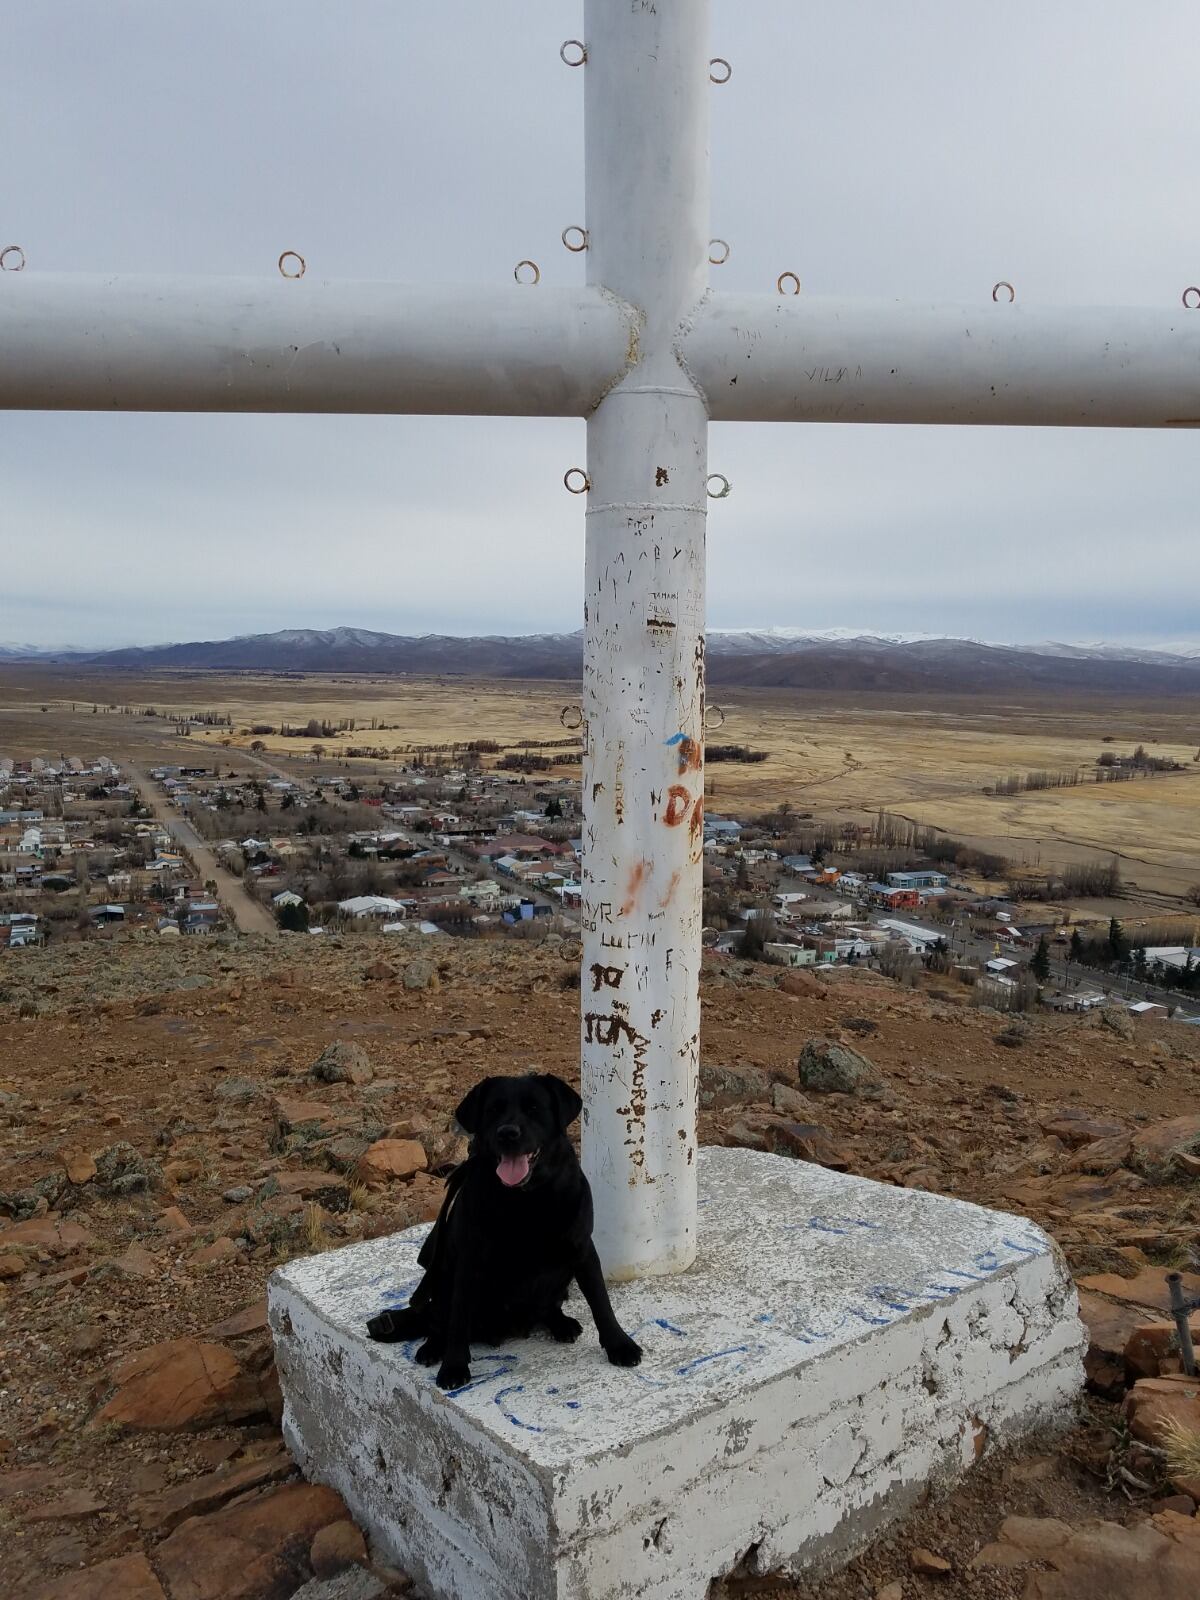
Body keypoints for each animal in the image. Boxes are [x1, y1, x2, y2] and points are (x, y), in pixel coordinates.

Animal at [366, 1075, 643, 1388]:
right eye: (493, 1110)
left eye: (534, 1108)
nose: (508, 1133)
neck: (527, 1199)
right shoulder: (468, 1262)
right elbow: (458, 1320)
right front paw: (453, 1365)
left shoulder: (582, 1249)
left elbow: (601, 1303)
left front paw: (619, 1344)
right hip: (442, 1278)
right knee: (439, 1321)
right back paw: (433, 1347)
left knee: (549, 1307)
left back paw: (562, 1324)